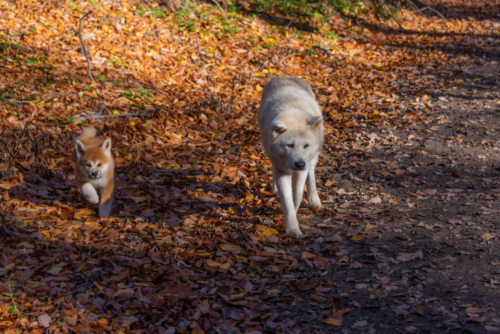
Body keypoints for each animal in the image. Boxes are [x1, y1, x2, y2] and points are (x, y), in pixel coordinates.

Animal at [258, 76, 324, 237]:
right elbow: (287, 202)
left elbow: (297, 195)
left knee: (311, 174)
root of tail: (284, 76)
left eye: (306, 146)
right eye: (290, 145)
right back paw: (274, 189)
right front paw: (292, 229)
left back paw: (314, 200)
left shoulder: (302, 169)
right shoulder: (281, 170)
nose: (300, 164)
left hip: (312, 158)